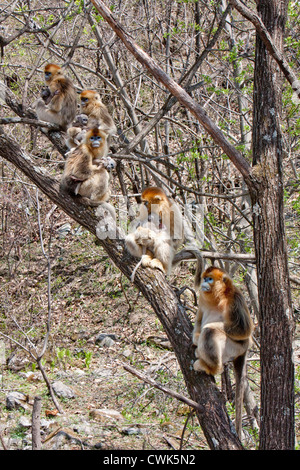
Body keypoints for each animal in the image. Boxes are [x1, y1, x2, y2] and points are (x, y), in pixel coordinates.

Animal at [192, 266, 253, 438]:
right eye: (205, 278)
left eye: (210, 279)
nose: (204, 282)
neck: (218, 298)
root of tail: (243, 351)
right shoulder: (202, 299)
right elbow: (199, 317)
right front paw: (195, 338)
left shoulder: (235, 300)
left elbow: (244, 331)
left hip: (235, 347)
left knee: (210, 331)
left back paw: (211, 367)